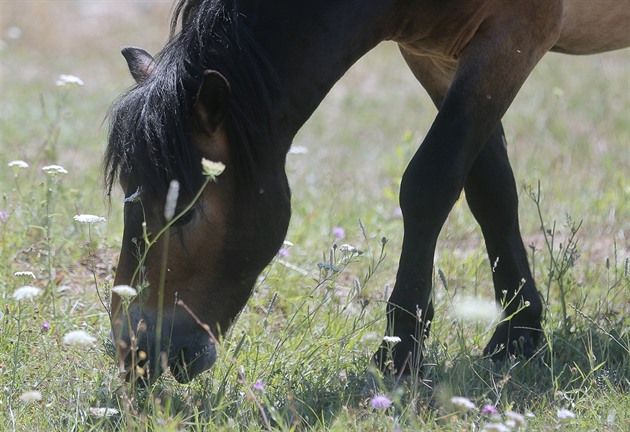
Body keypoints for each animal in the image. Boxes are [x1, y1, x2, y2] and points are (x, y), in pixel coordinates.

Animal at [105, 0, 630, 384]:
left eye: (188, 211)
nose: (136, 352)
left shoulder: (513, 38)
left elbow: (429, 182)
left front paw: (402, 347)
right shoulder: (438, 56)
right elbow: (490, 190)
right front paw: (518, 333)